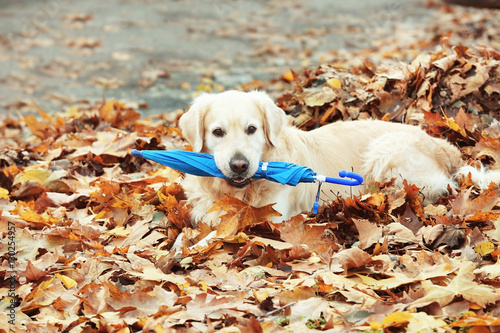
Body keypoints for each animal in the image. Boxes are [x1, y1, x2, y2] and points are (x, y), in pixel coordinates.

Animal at [178, 89, 498, 224]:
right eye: (218, 132)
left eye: (252, 129)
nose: (239, 165)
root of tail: (443, 144)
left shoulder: (275, 212)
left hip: (385, 151)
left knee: (440, 187)